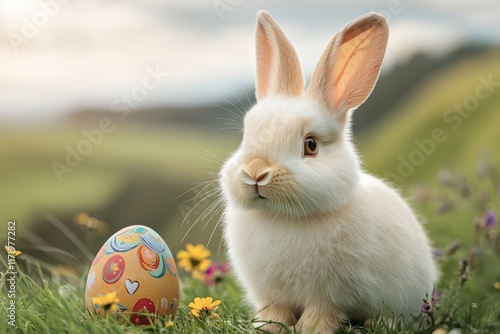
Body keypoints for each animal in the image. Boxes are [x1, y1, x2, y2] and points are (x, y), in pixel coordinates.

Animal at [220, 10, 438, 334]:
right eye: (246, 135)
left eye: (310, 145)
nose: (256, 173)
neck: (284, 218)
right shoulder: (272, 296)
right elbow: (276, 312)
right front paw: (269, 328)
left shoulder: (331, 295)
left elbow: (322, 313)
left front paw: (309, 329)